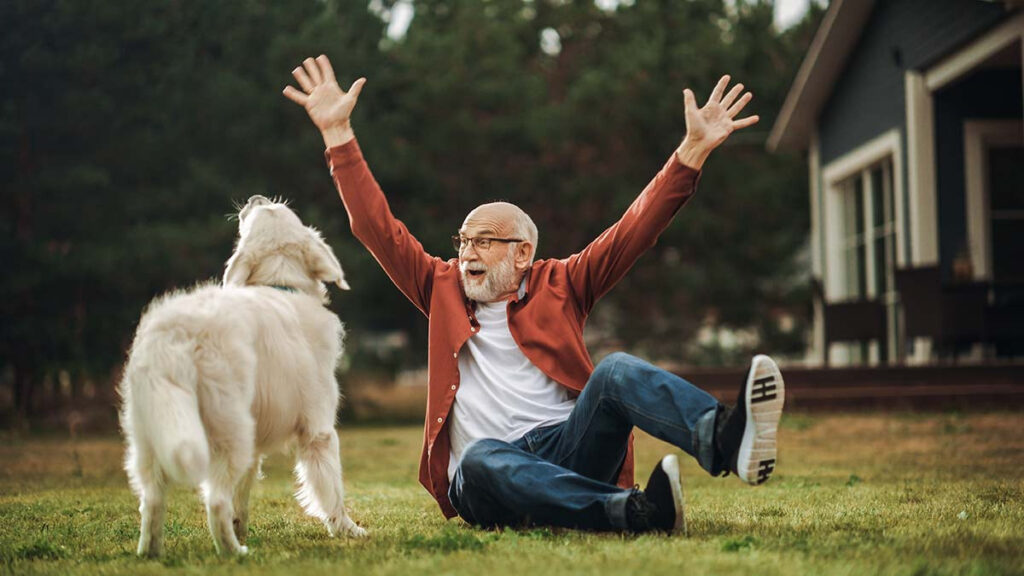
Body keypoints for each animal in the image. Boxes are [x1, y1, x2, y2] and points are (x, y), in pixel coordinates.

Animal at [118, 193, 366, 557]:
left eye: (271, 207)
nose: (254, 197)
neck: (281, 285)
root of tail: (177, 334)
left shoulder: (256, 442)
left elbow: (243, 496)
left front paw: (243, 528)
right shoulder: (318, 430)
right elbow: (330, 487)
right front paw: (347, 529)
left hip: (153, 435)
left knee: (152, 501)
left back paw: (152, 553)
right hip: (228, 432)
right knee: (215, 501)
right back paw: (234, 552)